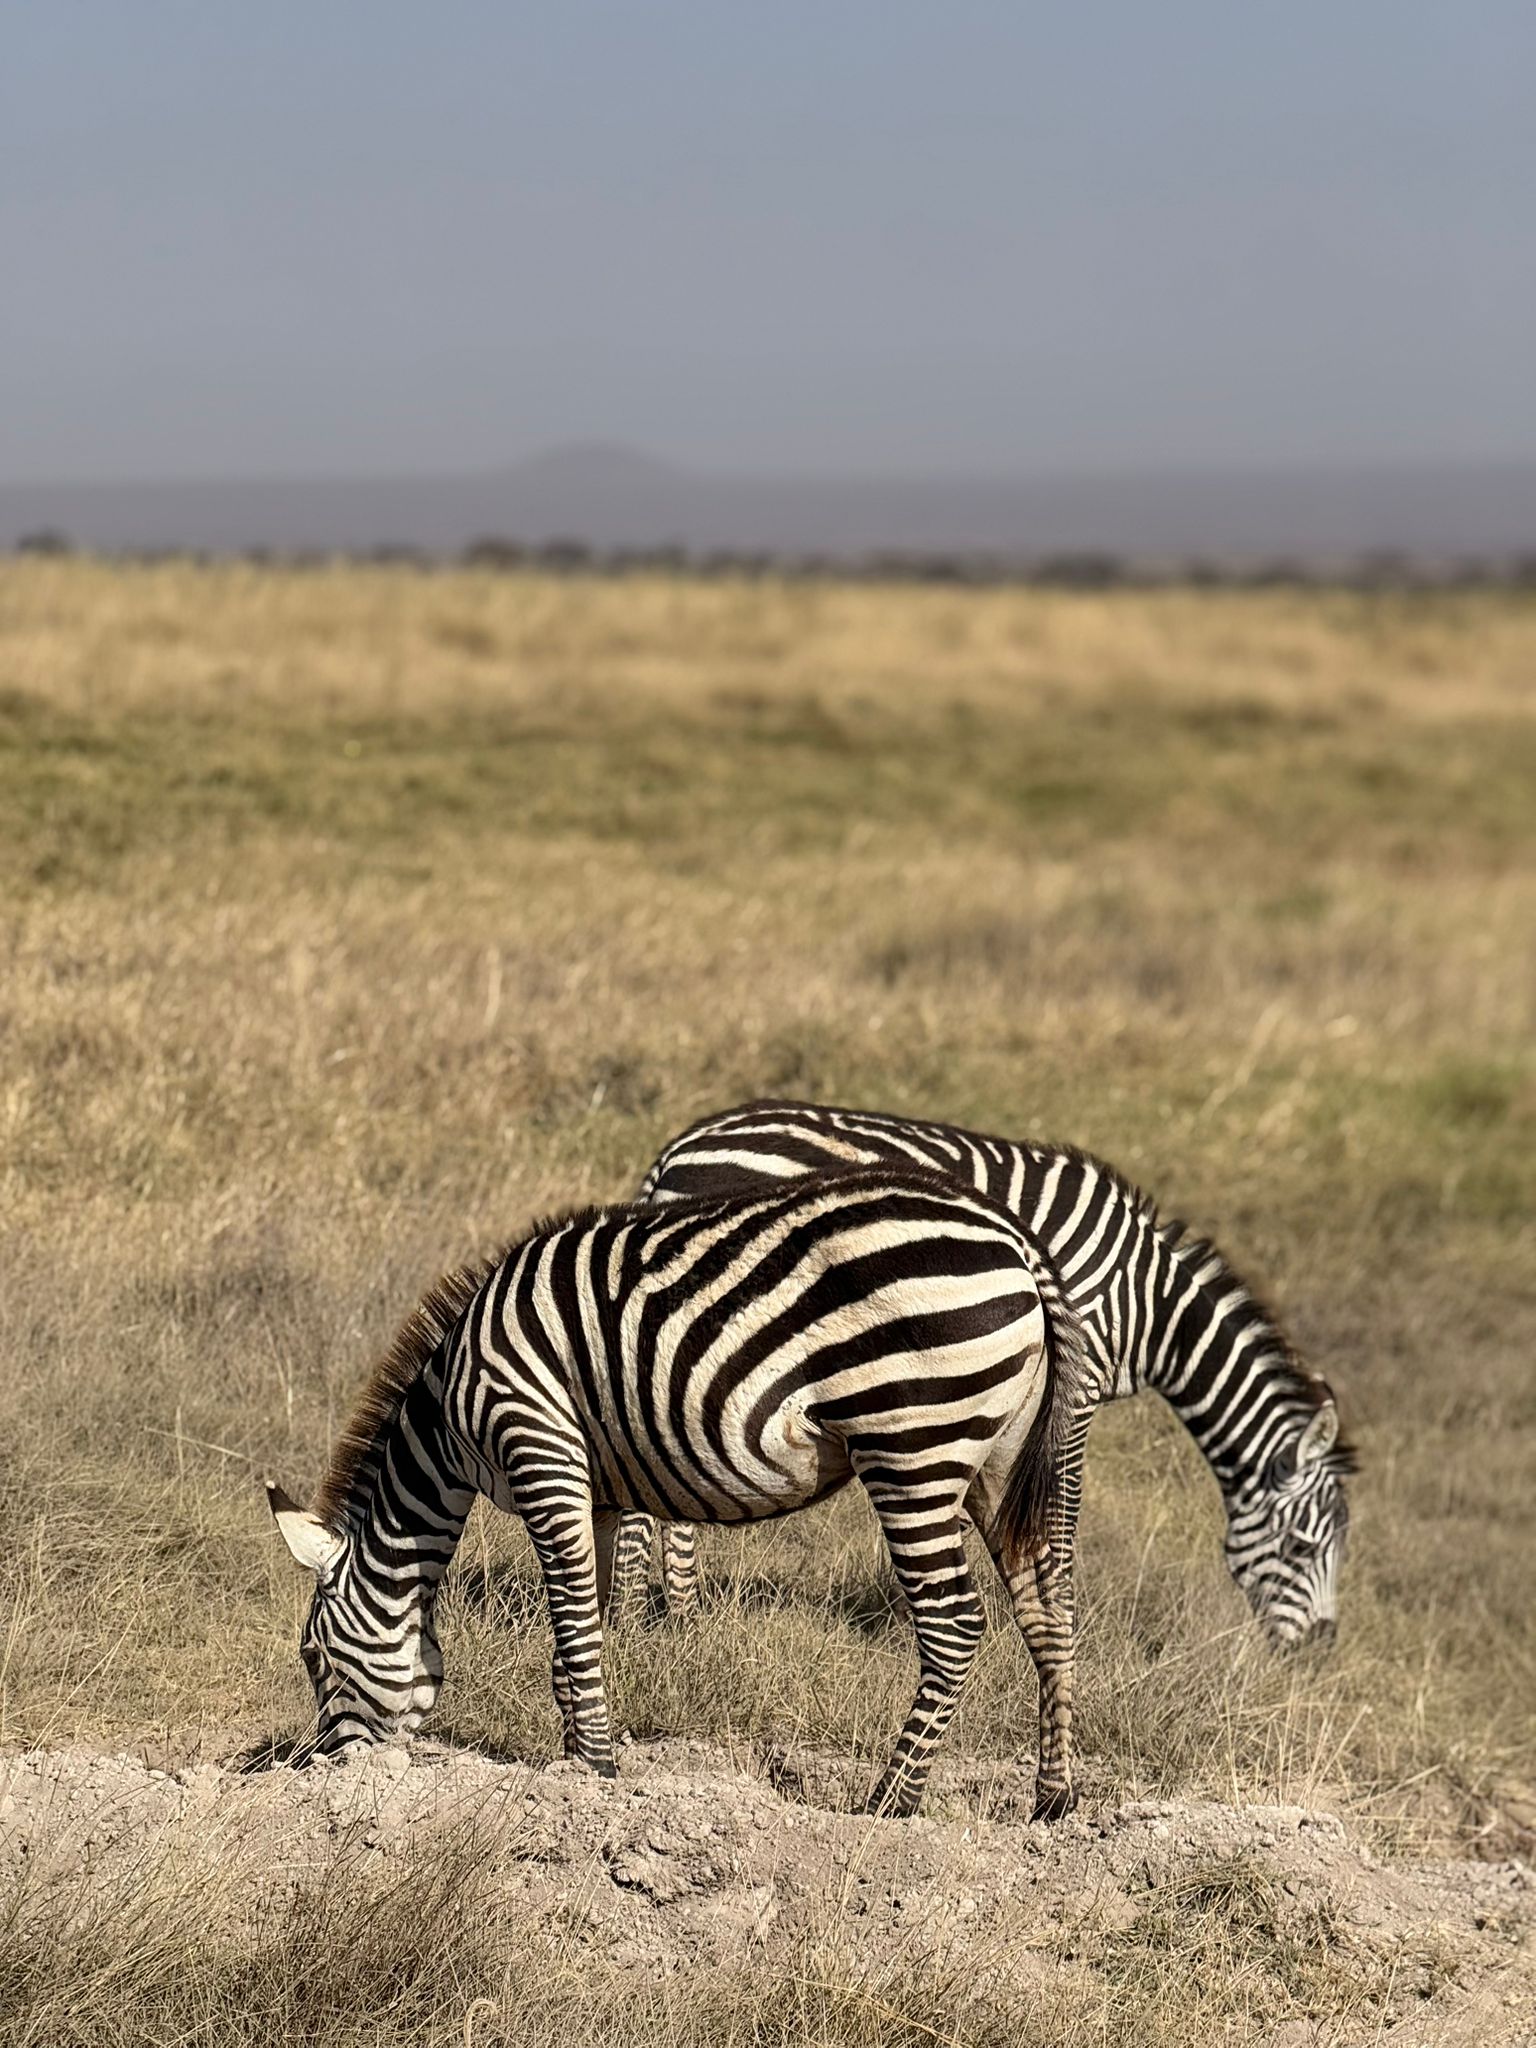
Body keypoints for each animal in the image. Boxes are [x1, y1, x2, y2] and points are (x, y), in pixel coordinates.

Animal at [266, 1169, 1090, 1819]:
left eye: (312, 1656)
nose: (318, 1770)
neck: (448, 1416)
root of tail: (1017, 1245)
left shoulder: (538, 1447)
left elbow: (572, 1622)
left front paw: (596, 1768)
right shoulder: (592, 1489)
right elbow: (582, 1627)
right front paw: (575, 1764)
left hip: (911, 1442)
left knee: (955, 1623)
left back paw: (889, 1802)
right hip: (999, 1459)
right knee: (1048, 1610)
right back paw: (1052, 1800)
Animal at [614, 1101, 1356, 1734]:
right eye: (1303, 1548)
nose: (1319, 1657)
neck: (1151, 1309)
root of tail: (681, 1148)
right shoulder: (1076, 1380)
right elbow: (1060, 1513)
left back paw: (663, 1618)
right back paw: (646, 1622)